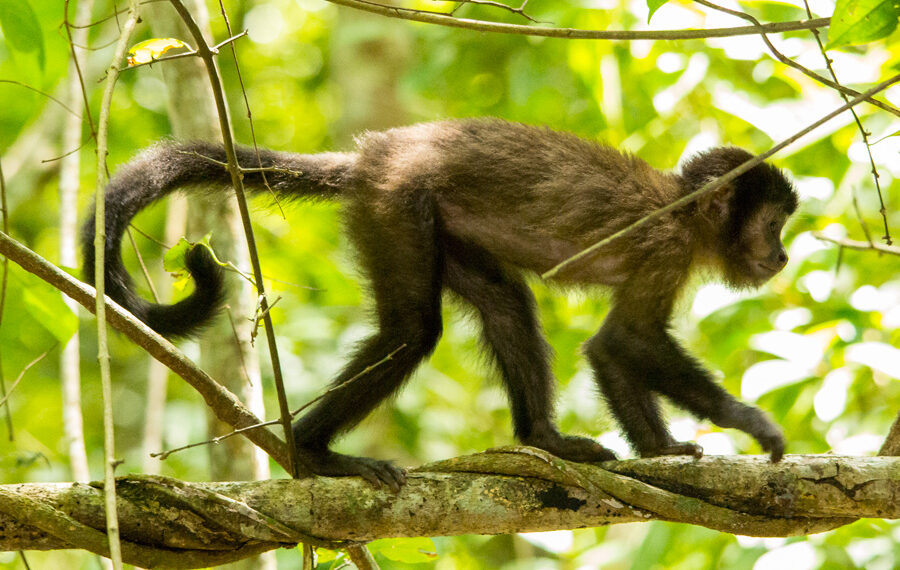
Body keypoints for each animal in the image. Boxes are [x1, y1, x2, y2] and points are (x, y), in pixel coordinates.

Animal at [82, 118, 798, 491]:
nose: (785, 255)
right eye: (773, 225)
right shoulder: (666, 244)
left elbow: (609, 348)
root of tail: (373, 155)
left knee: (506, 302)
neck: (686, 211)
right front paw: (749, 423)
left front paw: (660, 450)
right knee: (413, 329)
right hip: (395, 204)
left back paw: (543, 440)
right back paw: (314, 453)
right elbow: (627, 341)